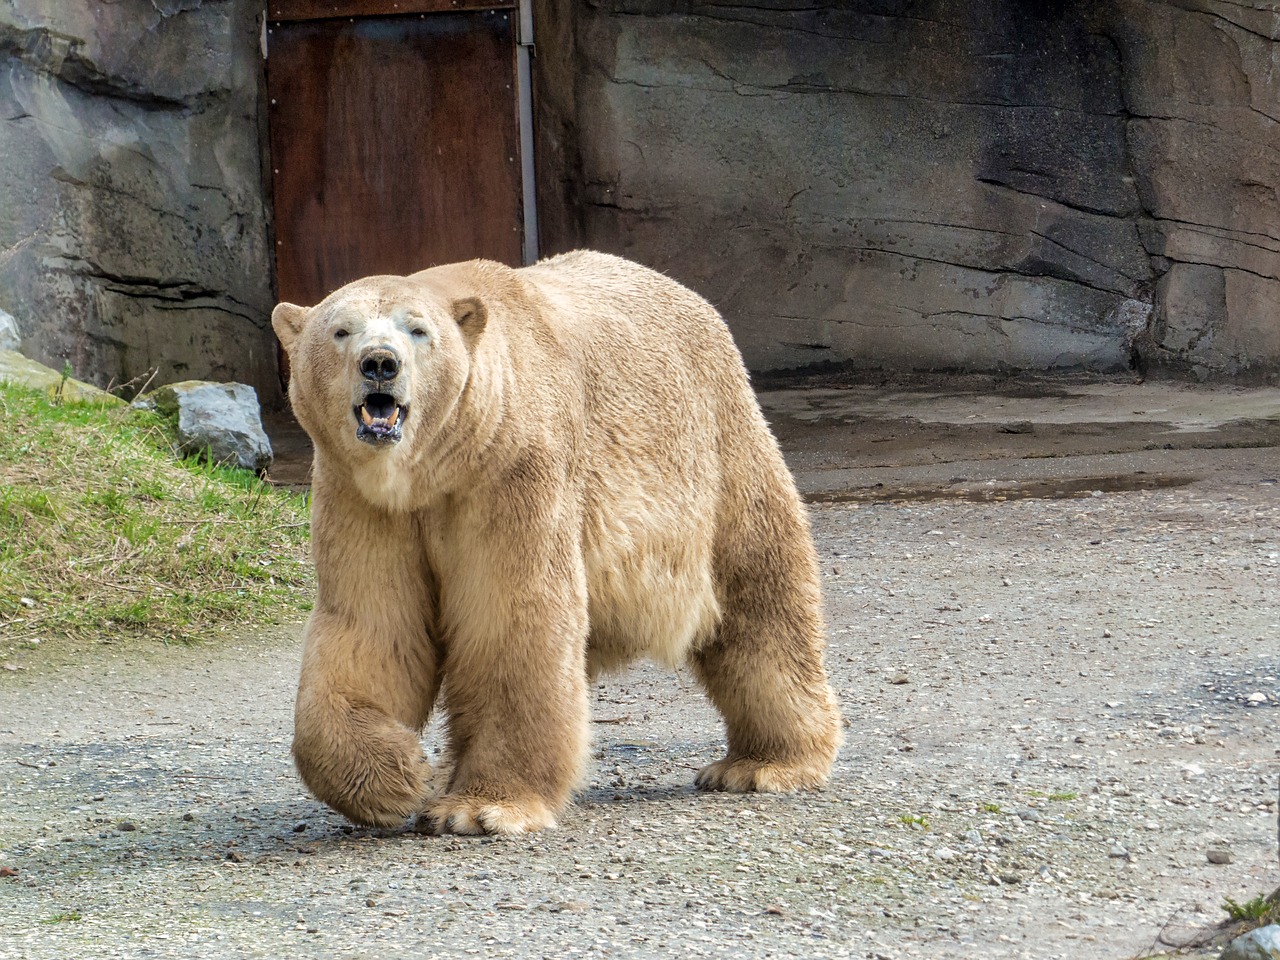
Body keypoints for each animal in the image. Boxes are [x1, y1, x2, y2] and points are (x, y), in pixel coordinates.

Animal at [272, 252, 839, 839]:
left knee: (759, 588)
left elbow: (516, 616)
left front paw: (480, 807)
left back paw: (763, 764)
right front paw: (400, 776)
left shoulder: (513, 468)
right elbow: (371, 623)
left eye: (418, 330)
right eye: (341, 331)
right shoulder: (364, 498)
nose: (380, 364)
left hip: (718, 446)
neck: (437, 467)